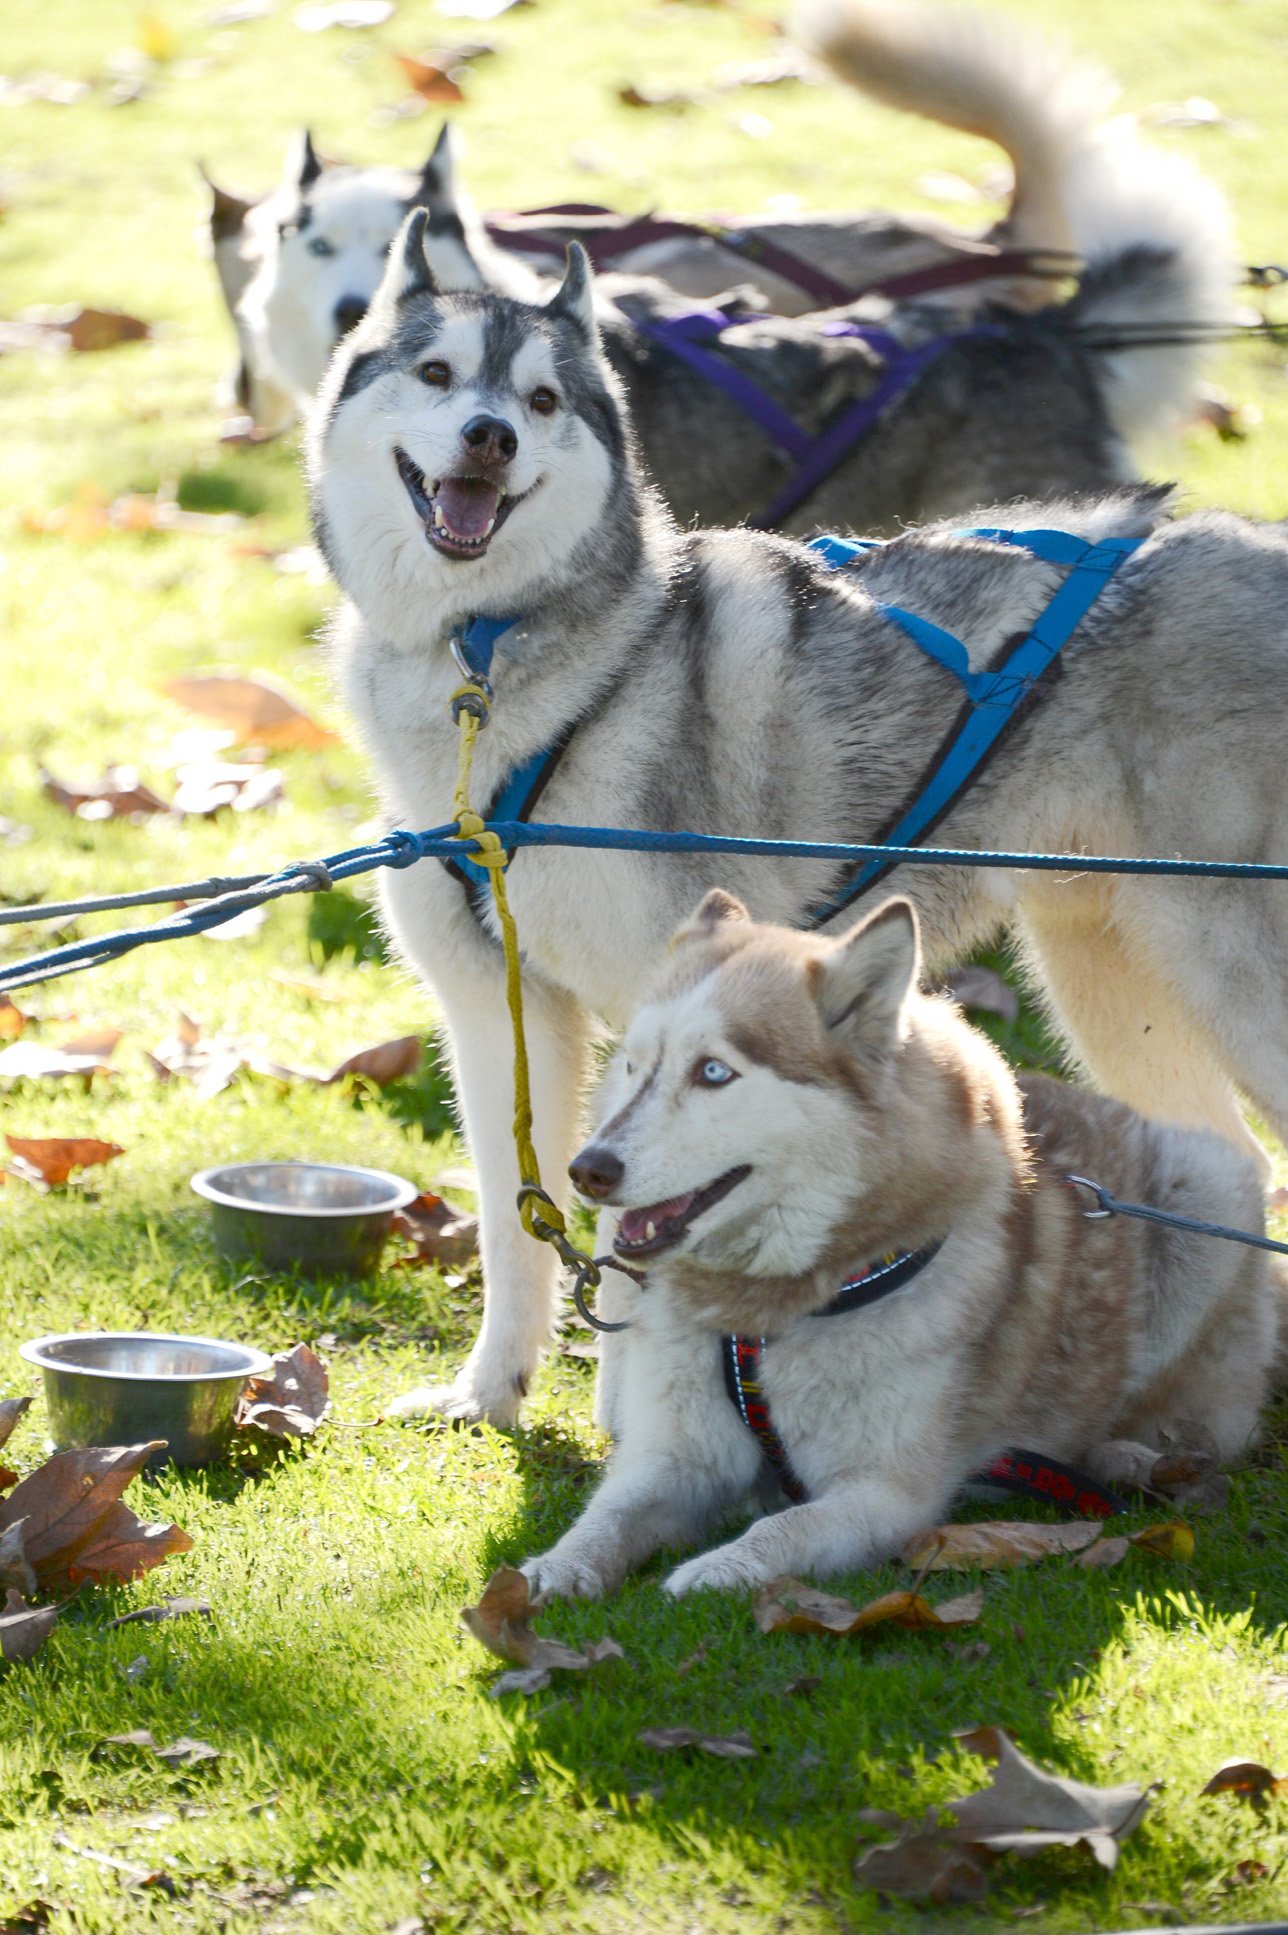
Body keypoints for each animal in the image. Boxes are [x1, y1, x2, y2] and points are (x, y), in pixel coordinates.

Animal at [311, 230, 1284, 1439]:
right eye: (439, 375)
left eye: (539, 401)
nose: (491, 435)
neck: (482, 676)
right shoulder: (502, 1017)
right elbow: (512, 1225)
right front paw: (491, 1395)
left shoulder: (658, 1020)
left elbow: (634, 1235)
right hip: (1108, 988)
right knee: (1234, 1170)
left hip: (1228, 978)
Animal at [518, 897, 1276, 1594]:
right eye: (633, 1066)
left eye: (712, 1072)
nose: (586, 1168)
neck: (768, 1312)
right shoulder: (673, 1458)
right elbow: (605, 1518)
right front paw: (552, 1571)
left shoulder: (888, 1494)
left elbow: (782, 1527)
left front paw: (716, 1570)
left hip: (1210, 1183)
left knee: (1204, 1426)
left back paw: (1131, 1458)